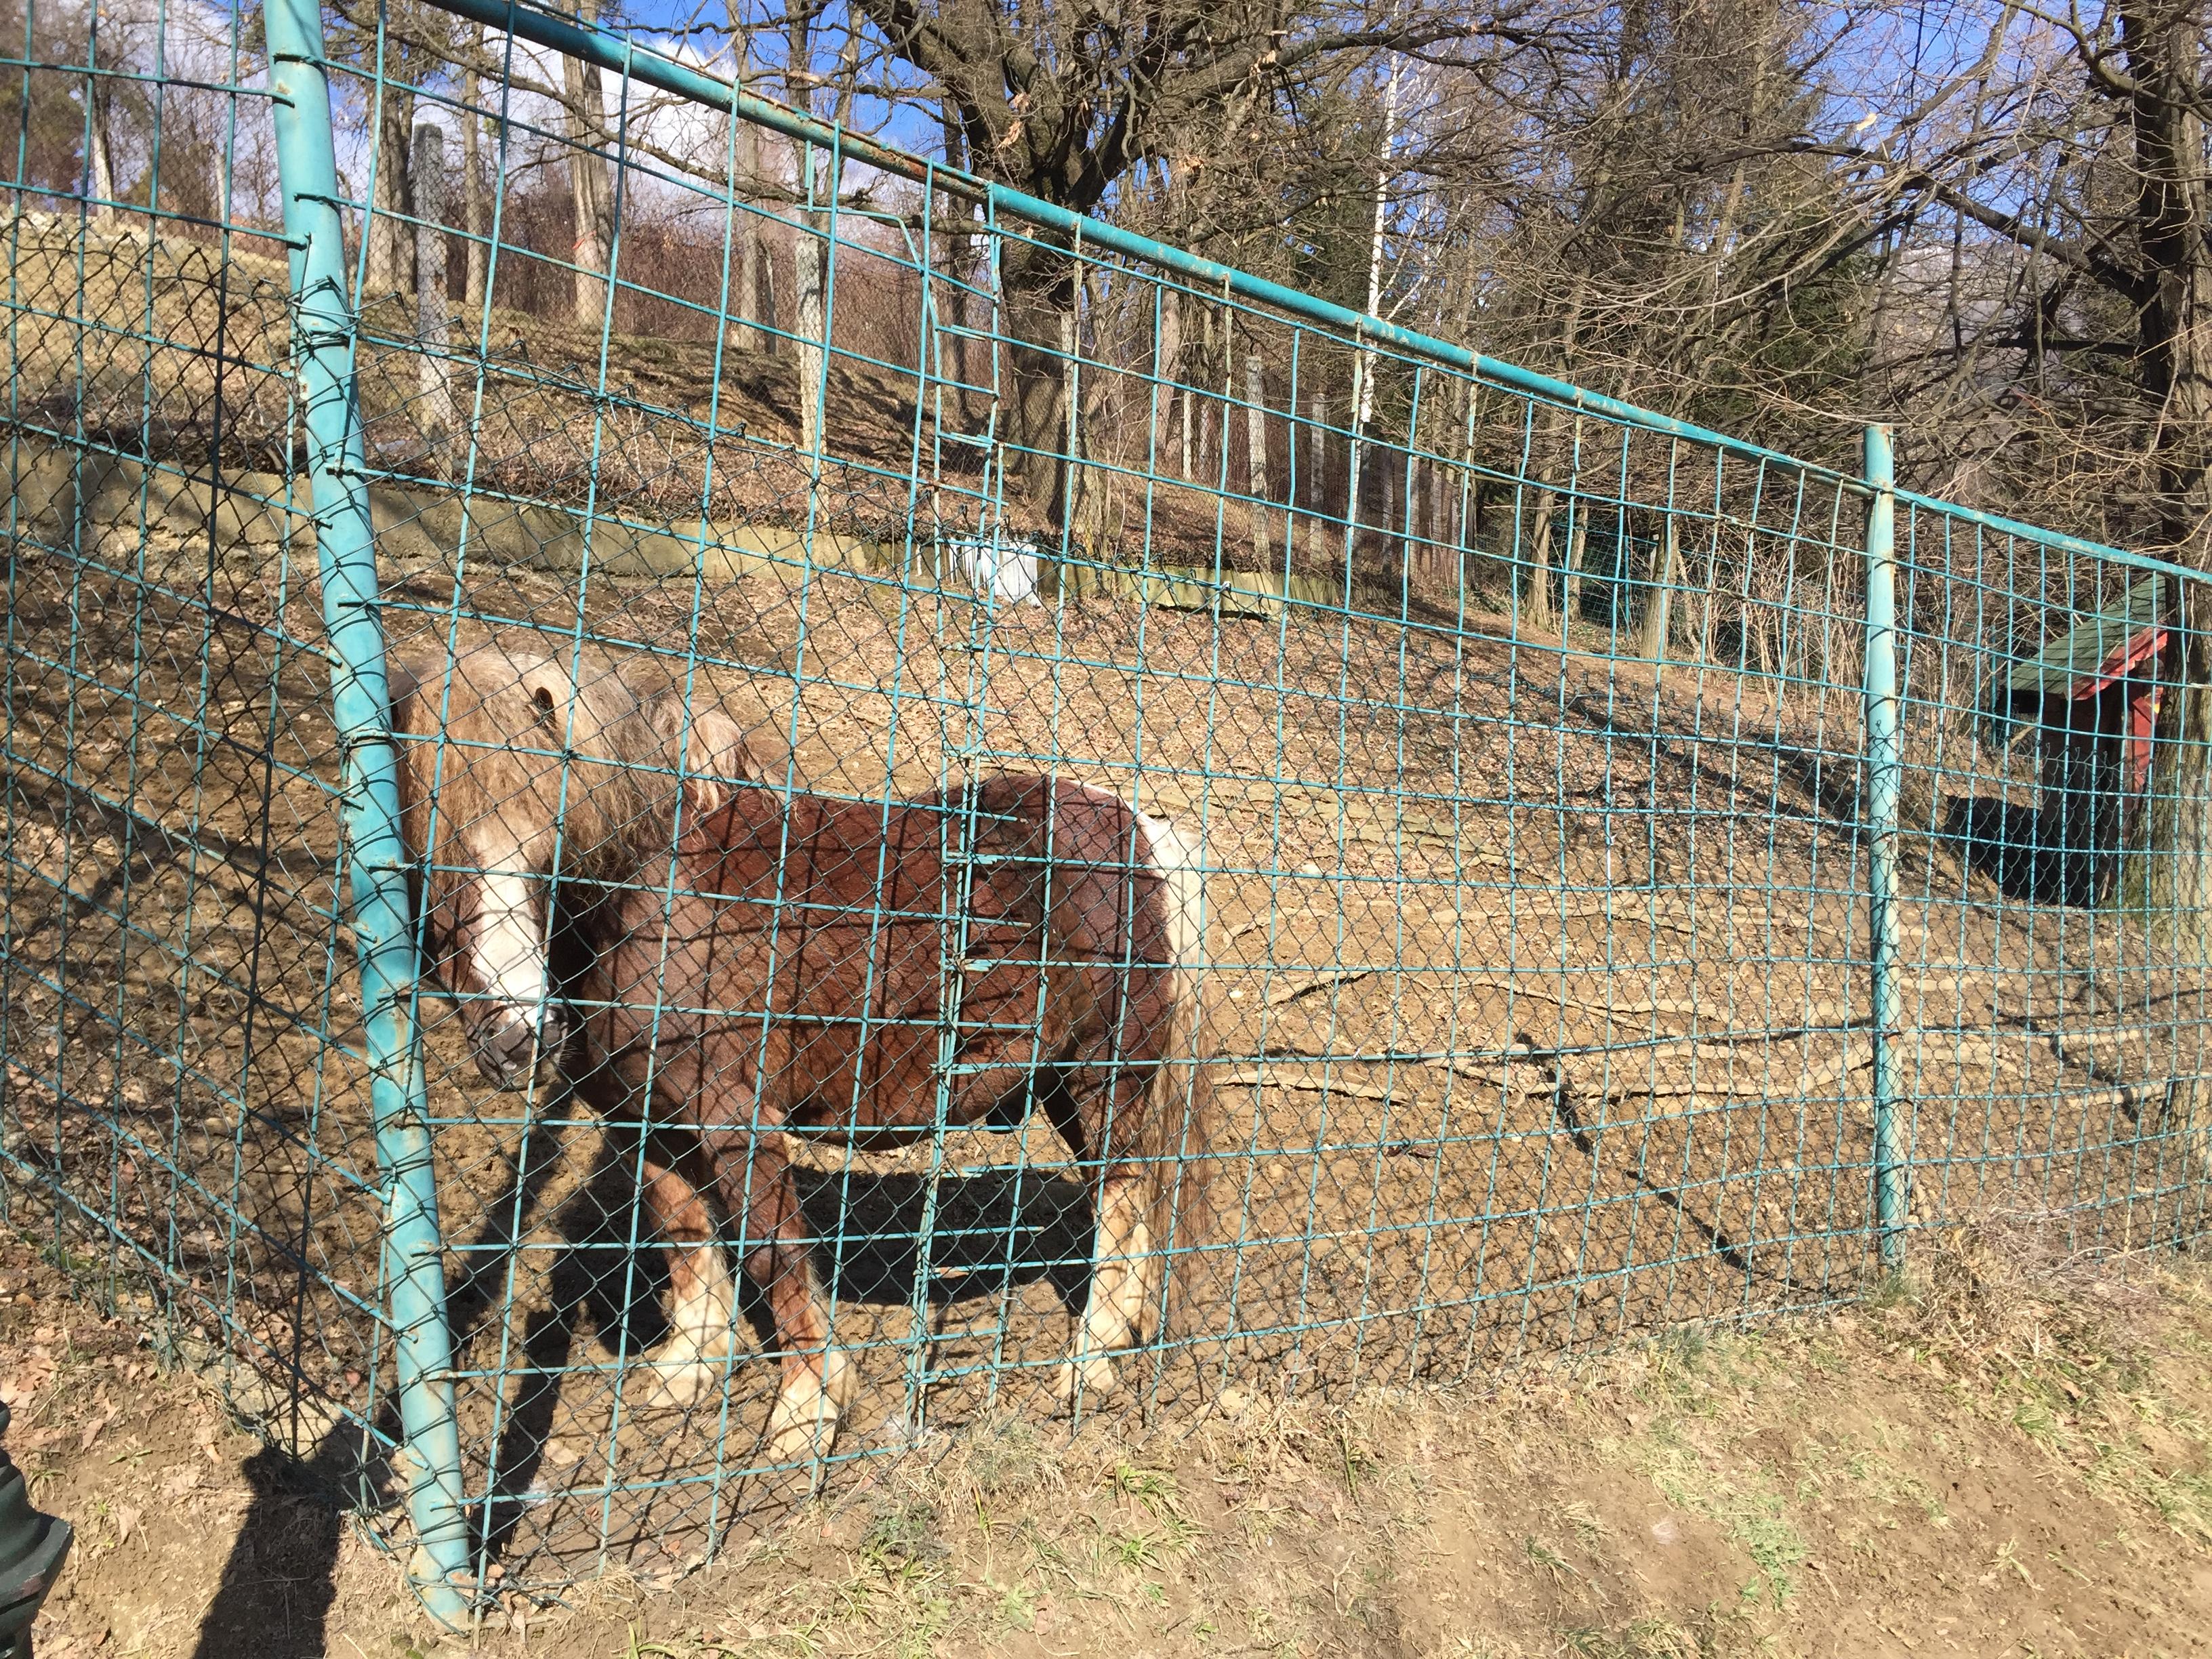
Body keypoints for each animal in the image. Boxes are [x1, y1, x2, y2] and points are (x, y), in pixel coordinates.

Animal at [382, 637, 1212, 1469]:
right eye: (425, 856)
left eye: (551, 842)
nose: (520, 1035)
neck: (651, 901)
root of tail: (1144, 832)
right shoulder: (646, 1124)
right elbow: (687, 1240)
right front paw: (689, 1371)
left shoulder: (737, 1120)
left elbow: (770, 1253)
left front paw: (806, 1410)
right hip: (1063, 1086)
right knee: (1127, 1198)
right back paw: (1123, 1338)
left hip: (1104, 1074)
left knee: (1121, 1201)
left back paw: (1088, 1364)